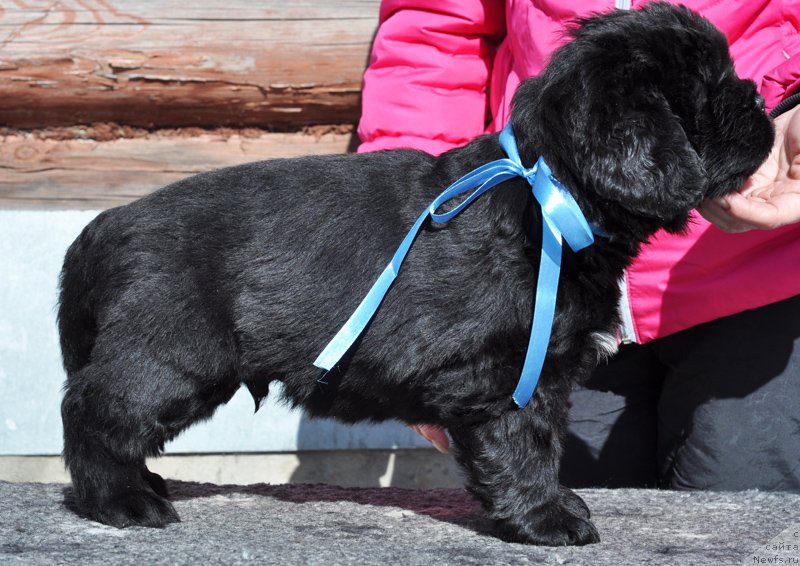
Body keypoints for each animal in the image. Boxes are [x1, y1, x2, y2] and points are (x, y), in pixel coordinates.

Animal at [59, 3, 772, 544]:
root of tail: (102, 227)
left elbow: (541, 439)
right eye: (709, 88)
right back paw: (123, 501)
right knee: (94, 410)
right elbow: (524, 441)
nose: (764, 101)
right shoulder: (501, 371)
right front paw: (546, 519)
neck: (548, 193)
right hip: (172, 355)